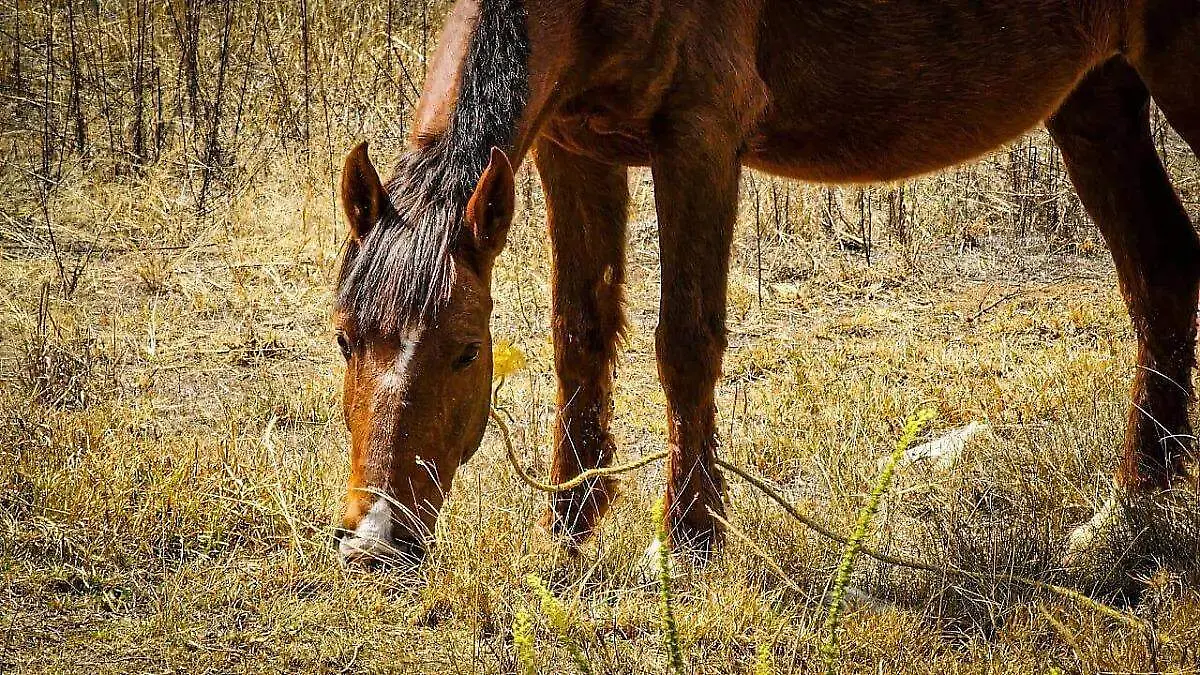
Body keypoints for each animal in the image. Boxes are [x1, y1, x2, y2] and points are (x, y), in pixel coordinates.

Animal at [331, 0, 1200, 578]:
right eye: (344, 337)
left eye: (464, 350)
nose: (374, 541)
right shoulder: (572, 146)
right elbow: (579, 332)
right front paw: (570, 526)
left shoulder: (700, 135)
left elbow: (684, 343)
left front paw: (686, 538)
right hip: (1097, 94)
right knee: (1160, 267)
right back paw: (1128, 511)